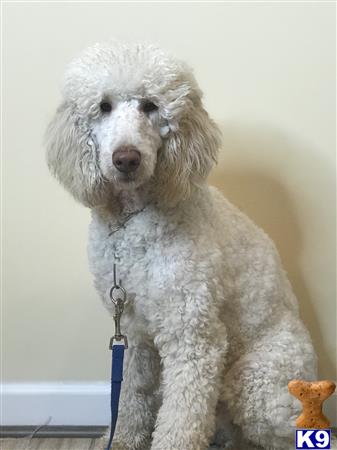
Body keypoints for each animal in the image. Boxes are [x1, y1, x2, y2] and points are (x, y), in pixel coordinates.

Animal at [46, 40, 316, 448]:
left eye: (150, 106)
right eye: (104, 106)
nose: (126, 158)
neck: (132, 221)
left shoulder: (193, 335)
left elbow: (182, 418)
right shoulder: (133, 332)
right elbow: (130, 398)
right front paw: (122, 439)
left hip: (256, 382)